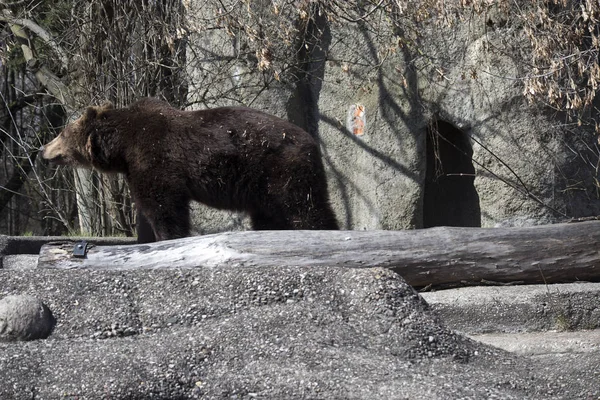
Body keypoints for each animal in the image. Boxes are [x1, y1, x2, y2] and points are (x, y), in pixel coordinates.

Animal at [42, 97, 340, 241]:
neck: (123, 146)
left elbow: (163, 203)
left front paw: (168, 236)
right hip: (262, 187)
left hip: (281, 169)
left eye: (61, 133)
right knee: (269, 214)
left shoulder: (155, 156)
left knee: (305, 205)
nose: (43, 151)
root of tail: (313, 142)